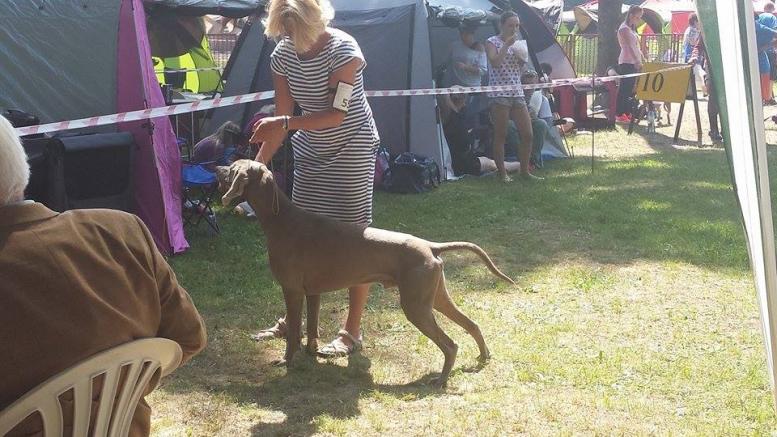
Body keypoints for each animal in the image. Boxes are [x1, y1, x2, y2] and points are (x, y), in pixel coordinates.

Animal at [215, 160, 512, 384]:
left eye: (231, 168)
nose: (215, 168)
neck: (281, 219)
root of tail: (430, 246)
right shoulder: (312, 293)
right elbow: (310, 329)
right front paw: (311, 354)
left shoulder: (292, 291)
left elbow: (293, 335)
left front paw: (287, 361)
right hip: (435, 298)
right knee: (472, 324)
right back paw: (483, 356)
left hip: (415, 306)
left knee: (450, 344)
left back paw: (440, 380)